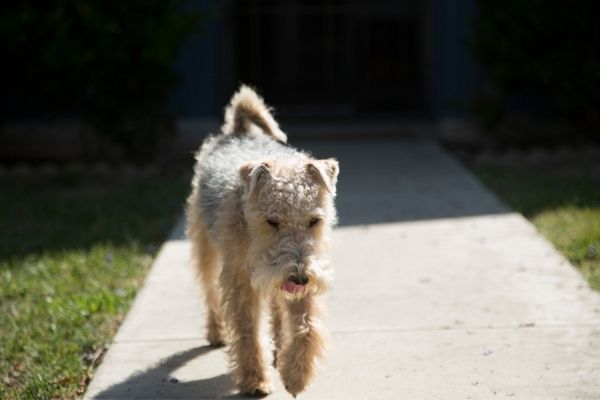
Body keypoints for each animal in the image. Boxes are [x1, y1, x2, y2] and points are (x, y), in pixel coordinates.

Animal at [185, 86, 340, 396]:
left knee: (278, 309)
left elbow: (307, 326)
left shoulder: (301, 278)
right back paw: (216, 332)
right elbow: (247, 331)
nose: (300, 277)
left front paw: (295, 376)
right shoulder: (240, 280)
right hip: (206, 246)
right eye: (272, 221)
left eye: (314, 220)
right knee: (209, 291)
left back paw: (281, 350)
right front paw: (254, 380)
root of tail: (239, 132)